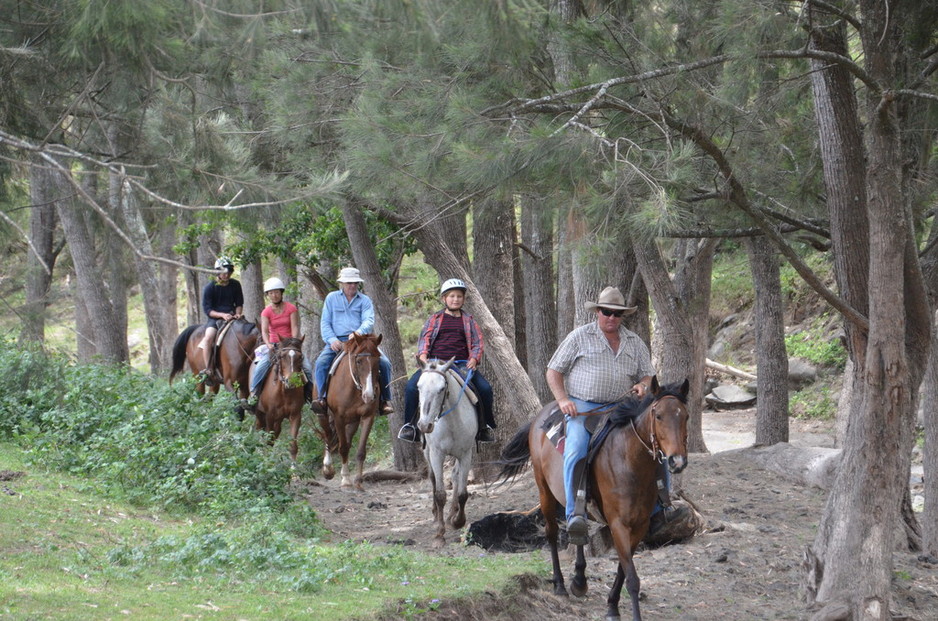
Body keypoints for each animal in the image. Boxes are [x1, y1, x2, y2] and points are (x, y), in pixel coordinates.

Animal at [316, 332, 382, 492]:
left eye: (378, 360)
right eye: (358, 361)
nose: (369, 395)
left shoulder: (367, 416)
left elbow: (360, 451)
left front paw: (358, 481)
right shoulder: (338, 417)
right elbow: (343, 448)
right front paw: (345, 480)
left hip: (353, 421)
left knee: (346, 438)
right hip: (324, 415)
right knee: (328, 435)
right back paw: (328, 469)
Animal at [414, 356, 476, 544]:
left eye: (441, 389)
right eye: (418, 386)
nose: (424, 425)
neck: (451, 422)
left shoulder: (466, 454)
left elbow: (463, 493)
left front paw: (458, 521)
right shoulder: (436, 454)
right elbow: (440, 493)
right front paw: (440, 534)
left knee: (455, 476)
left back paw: (451, 515)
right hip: (427, 452)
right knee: (433, 478)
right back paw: (437, 516)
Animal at [498, 376, 688, 620]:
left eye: (685, 416)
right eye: (659, 416)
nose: (676, 461)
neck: (629, 460)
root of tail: (541, 417)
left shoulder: (639, 526)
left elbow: (623, 571)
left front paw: (612, 606)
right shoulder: (618, 524)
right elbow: (632, 578)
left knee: (579, 529)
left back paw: (579, 579)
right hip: (545, 491)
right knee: (552, 533)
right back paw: (560, 584)